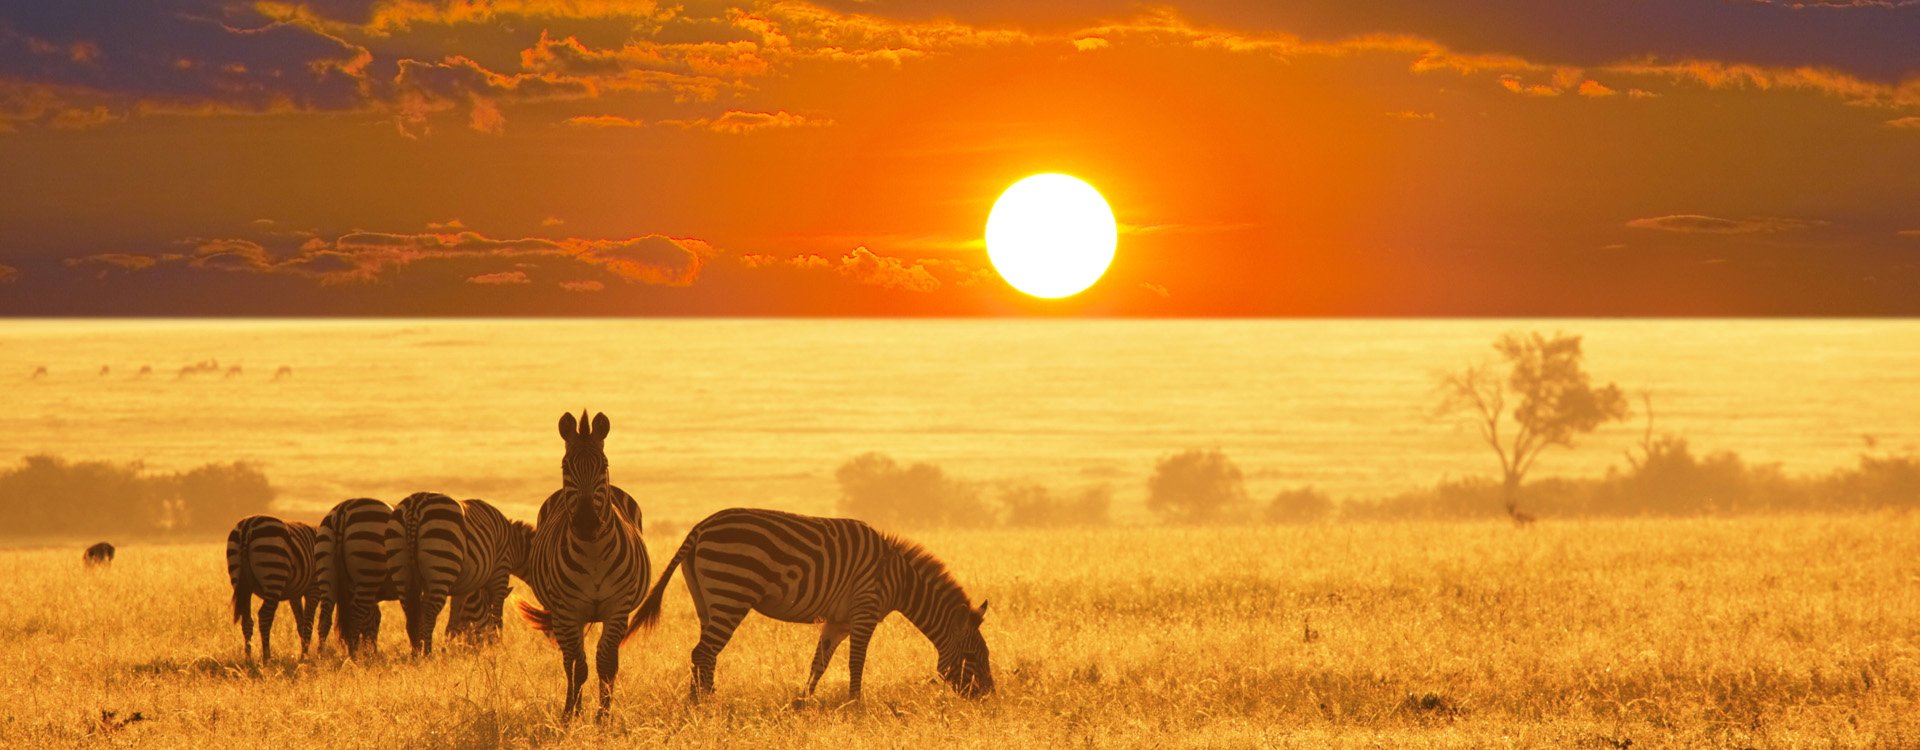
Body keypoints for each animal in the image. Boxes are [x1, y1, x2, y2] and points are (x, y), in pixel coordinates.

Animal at [228, 517, 326, 663]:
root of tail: (247, 526)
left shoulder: (295, 595)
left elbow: (301, 624)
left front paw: (303, 655)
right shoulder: (314, 589)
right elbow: (308, 623)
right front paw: (305, 657)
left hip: (240, 583)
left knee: (247, 620)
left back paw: (248, 659)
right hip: (273, 576)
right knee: (264, 617)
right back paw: (267, 657)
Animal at [316, 498, 403, 659]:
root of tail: (343, 509)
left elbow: (372, 620)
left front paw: (371, 653)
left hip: (327, 572)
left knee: (325, 617)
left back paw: (320, 657)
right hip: (368, 571)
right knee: (354, 617)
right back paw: (353, 657)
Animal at [518, 414, 652, 721]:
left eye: (604, 465)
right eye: (565, 466)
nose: (586, 522)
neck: (594, 553)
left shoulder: (618, 608)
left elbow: (606, 662)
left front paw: (604, 716)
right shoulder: (568, 611)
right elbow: (578, 665)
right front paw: (572, 714)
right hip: (562, 615)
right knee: (569, 659)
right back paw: (571, 707)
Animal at [633, 506, 998, 702]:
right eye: (972, 657)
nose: (989, 699)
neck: (899, 578)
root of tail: (699, 527)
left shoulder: (839, 621)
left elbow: (818, 663)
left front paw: (803, 702)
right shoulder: (864, 611)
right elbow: (856, 662)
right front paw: (856, 705)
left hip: (706, 601)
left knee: (704, 654)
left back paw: (700, 702)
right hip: (731, 592)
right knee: (704, 653)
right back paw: (706, 705)